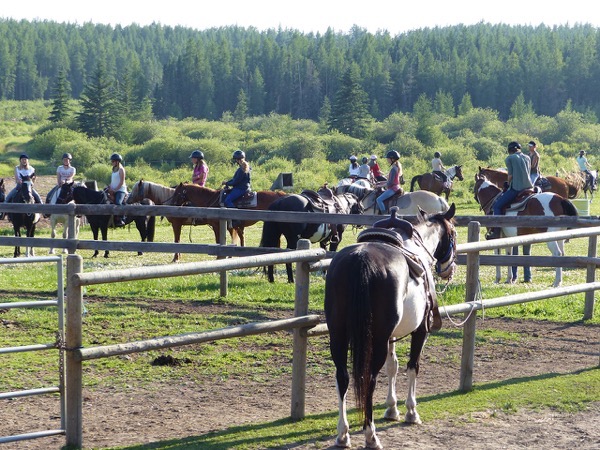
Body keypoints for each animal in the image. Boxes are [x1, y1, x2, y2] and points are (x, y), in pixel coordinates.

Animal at [326, 206, 458, 448]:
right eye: (453, 233)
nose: (449, 270)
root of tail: (361, 259)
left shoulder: (389, 337)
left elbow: (392, 366)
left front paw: (391, 408)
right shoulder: (420, 331)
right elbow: (412, 366)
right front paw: (411, 412)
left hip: (338, 334)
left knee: (343, 377)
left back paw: (343, 434)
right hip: (375, 339)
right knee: (369, 378)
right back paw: (371, 436)